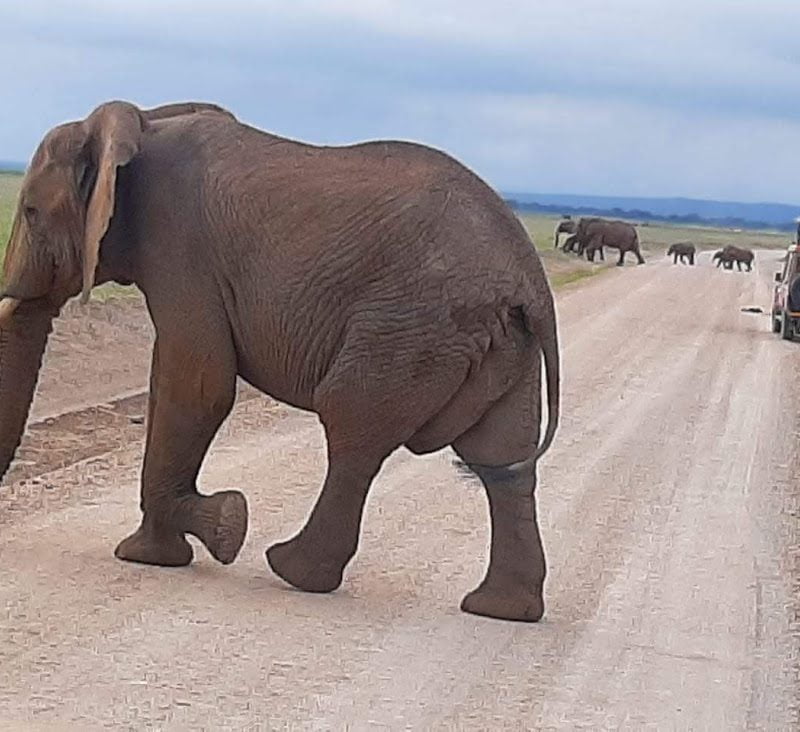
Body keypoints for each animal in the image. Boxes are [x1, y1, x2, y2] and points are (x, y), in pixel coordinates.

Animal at [0, 100, 561, 623]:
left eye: (29, 212)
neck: (142, 123)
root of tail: (530, 280)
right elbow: (174, 383)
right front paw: (181, 541)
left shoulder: (180, 250)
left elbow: (198, 385)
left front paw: (200, 536)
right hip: (499, 343)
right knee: (501, 461)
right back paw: (501, 610)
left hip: (411, 327)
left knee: (353, 432)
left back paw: (293, 571)